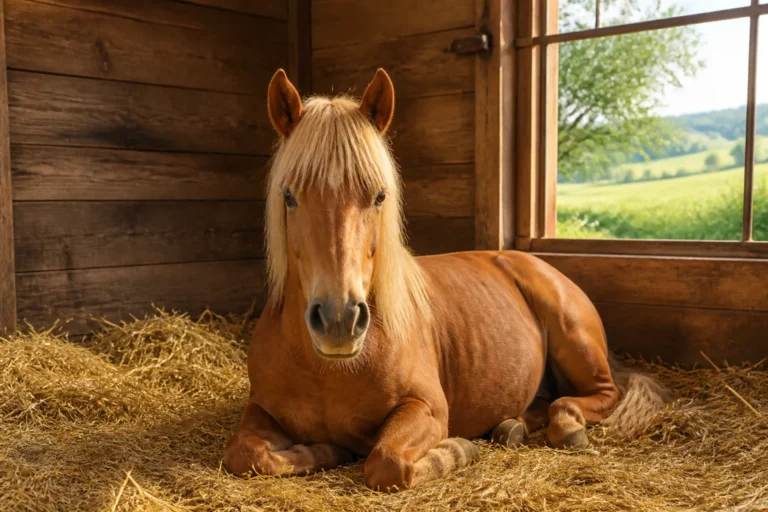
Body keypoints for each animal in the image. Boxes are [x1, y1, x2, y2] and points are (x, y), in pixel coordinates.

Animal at [223, 68, 668, 491]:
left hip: (573, 336)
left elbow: (388, 461)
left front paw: (456, 451)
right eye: (289, 196)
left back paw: (568, 426)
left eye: (379, 196)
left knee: (599, 395)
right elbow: (245, 455)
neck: (328, 370)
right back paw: (512, 426)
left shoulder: (427, 408)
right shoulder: (260, 408)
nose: (339, 321)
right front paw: (325, 451)